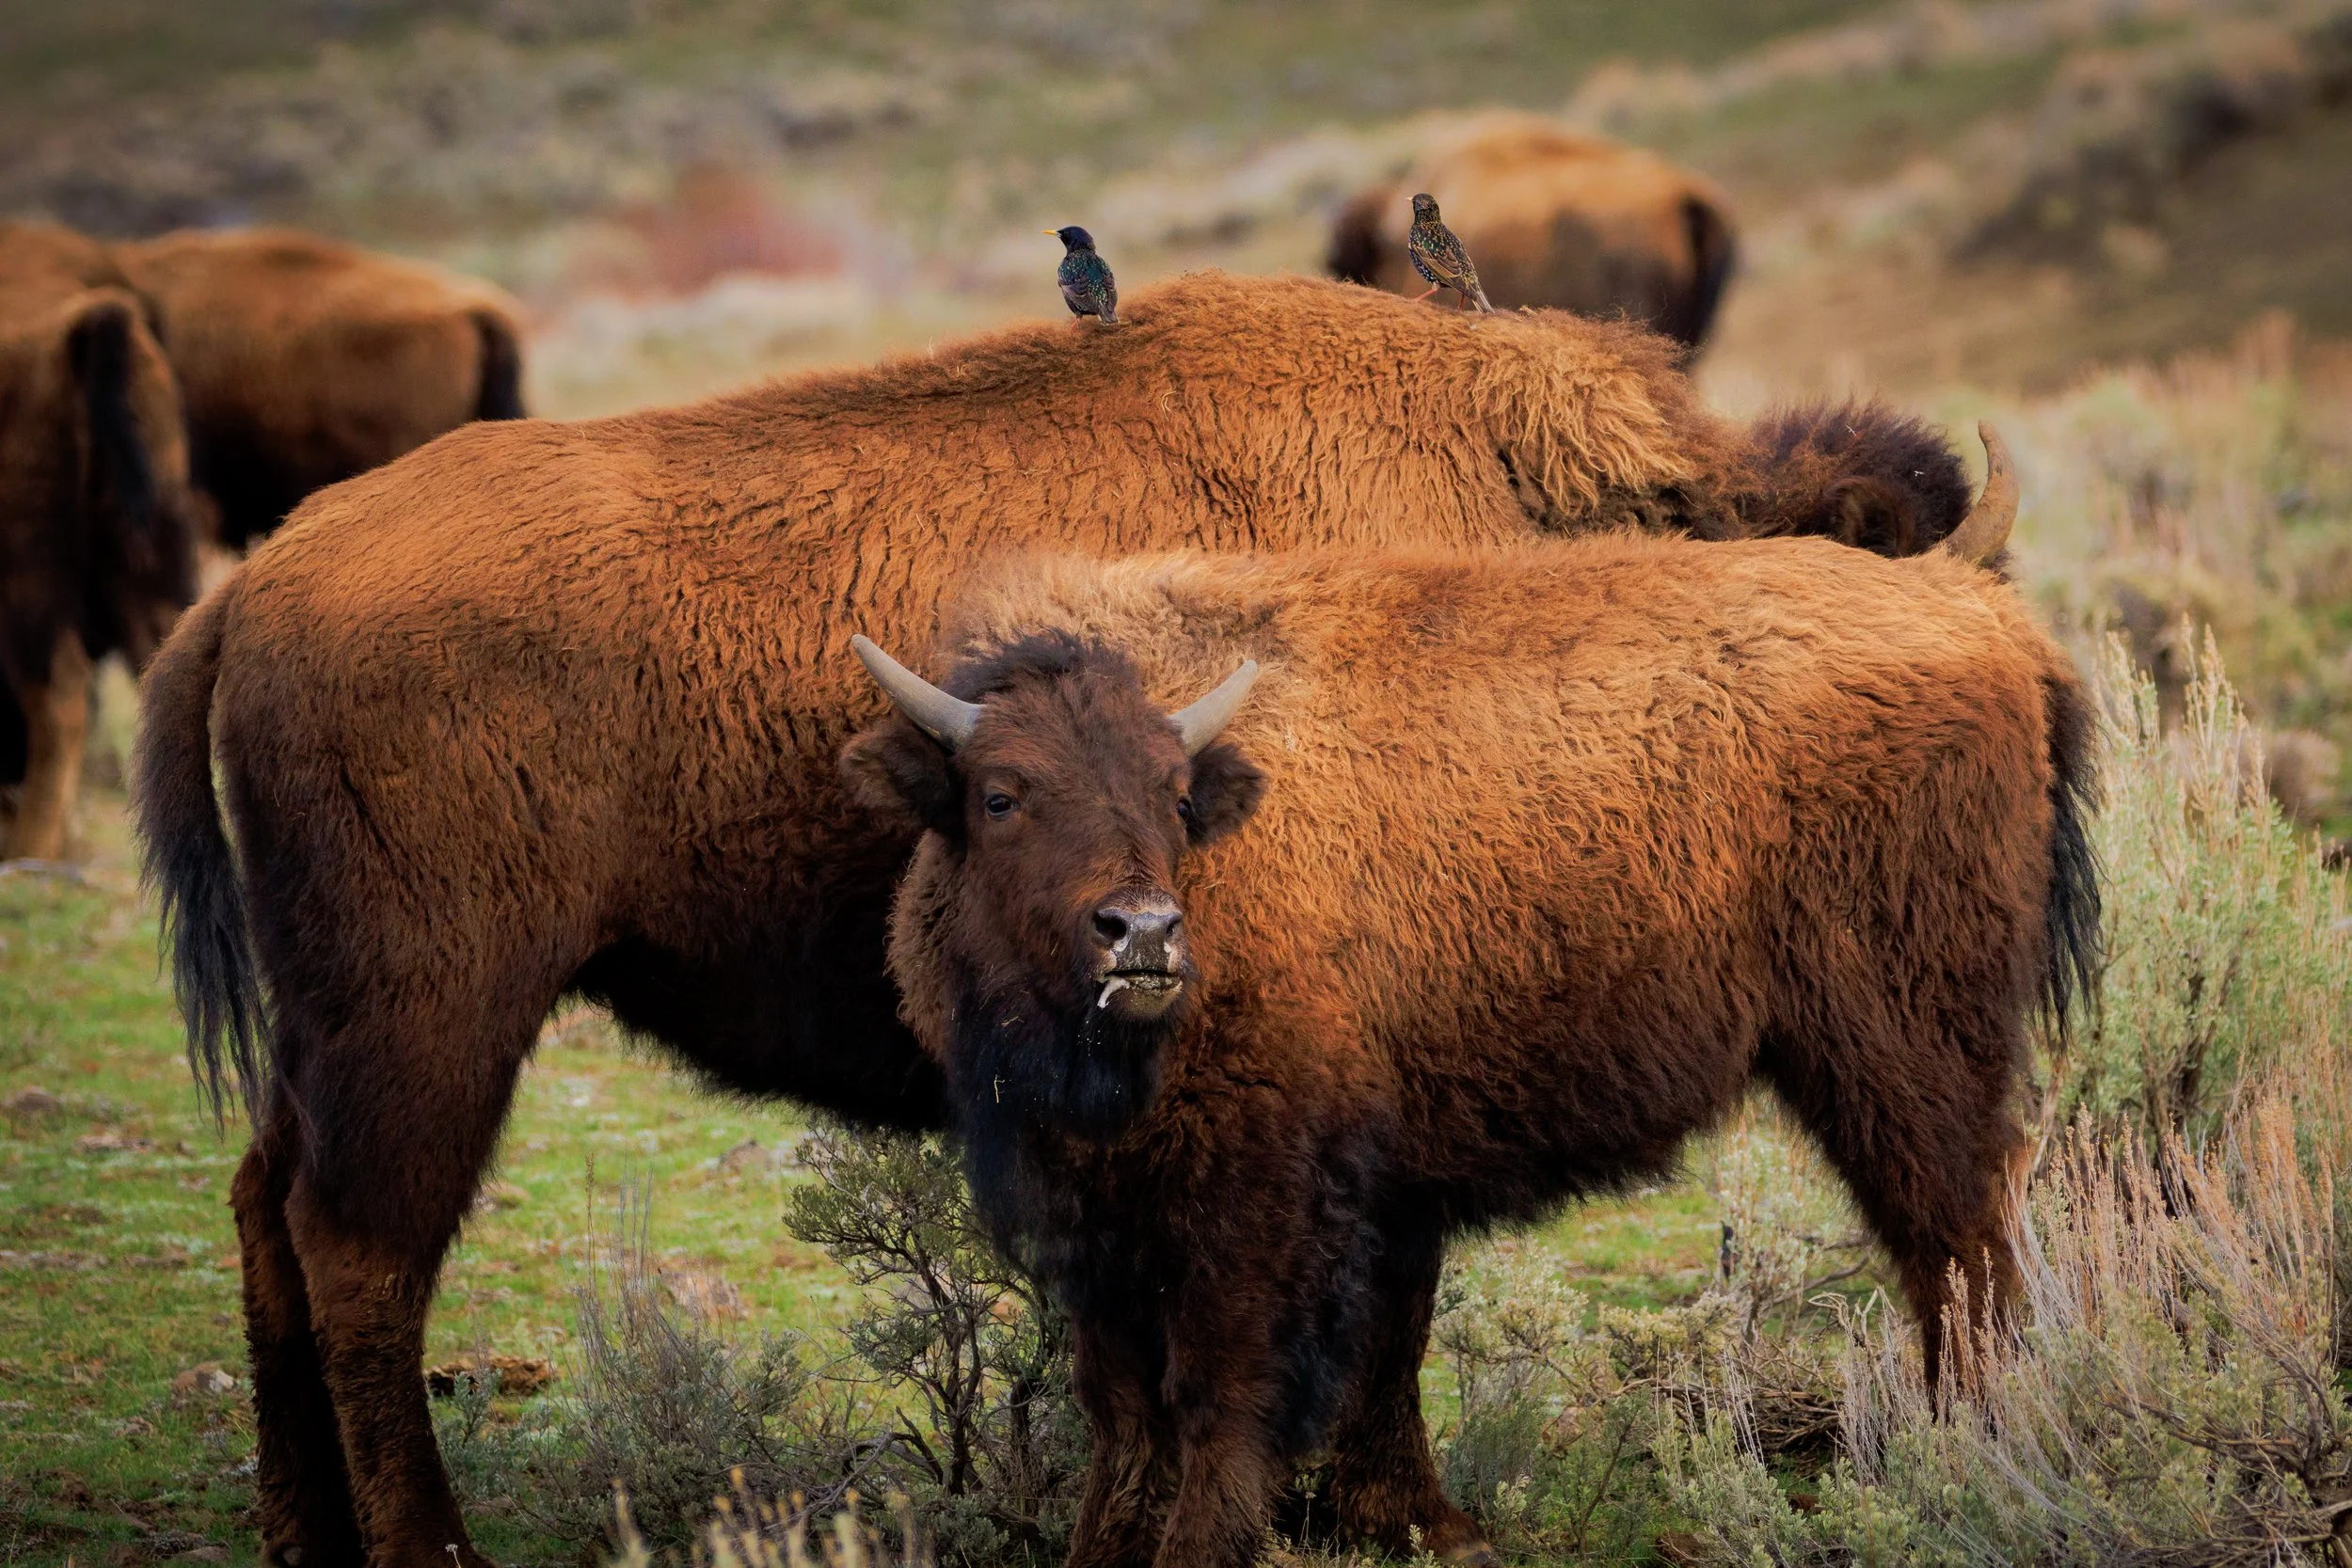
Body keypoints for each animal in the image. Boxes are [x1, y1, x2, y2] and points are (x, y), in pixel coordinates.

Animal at [845, 473, 2097, 1568]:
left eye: (1175, 794)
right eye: (999, 795)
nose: (1141, 934)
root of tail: (1967, 605)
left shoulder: (1253, 1196)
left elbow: (1217, 1392)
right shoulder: (1094, 1214)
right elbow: (1124, 1408)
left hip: (1899, 1045)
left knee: (1956, 1243)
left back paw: (1965, 1459)